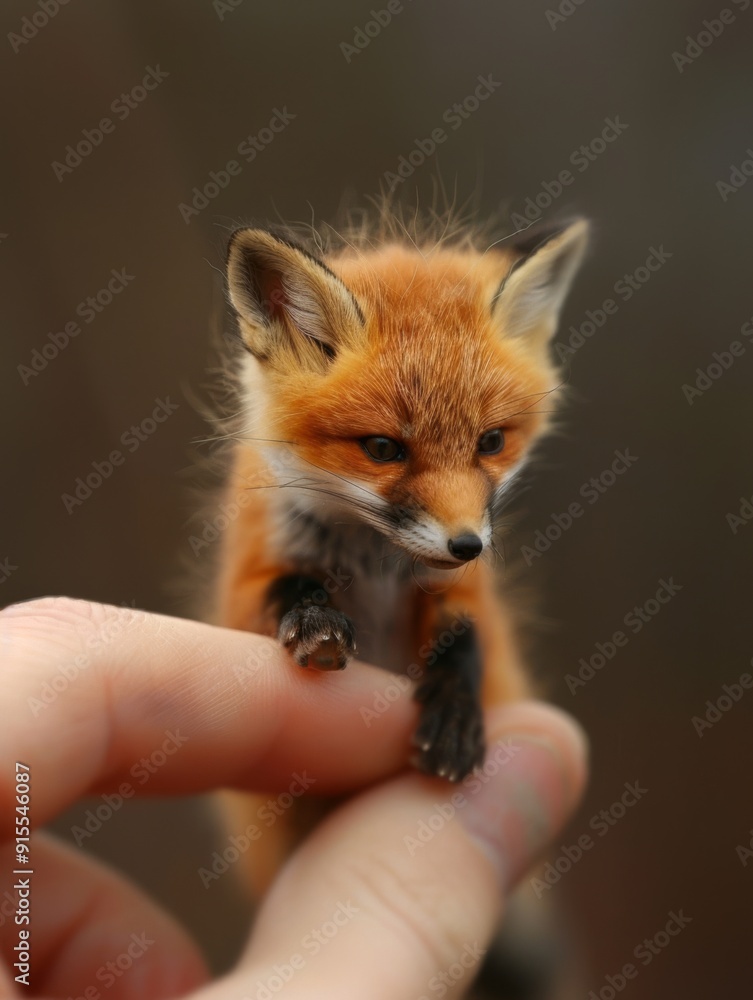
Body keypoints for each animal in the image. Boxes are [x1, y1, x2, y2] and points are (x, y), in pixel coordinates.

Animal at [207, 207, 589, 895]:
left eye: (492, 442)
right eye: (383, 448)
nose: (467, 544)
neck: (372, 563)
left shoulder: (462, 591)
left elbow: (467, 636)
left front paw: (456, 714)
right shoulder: (245, 581)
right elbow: (284, 590)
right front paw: (316, 618)